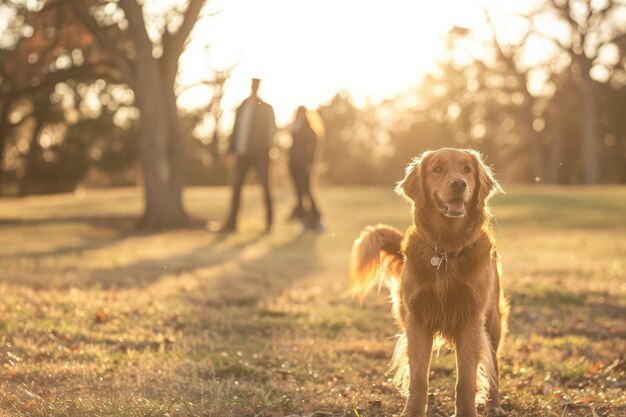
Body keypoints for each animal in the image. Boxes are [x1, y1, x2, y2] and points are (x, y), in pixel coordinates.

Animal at [352, 149, 508, 416]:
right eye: (437, 169)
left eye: (467, 169)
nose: (459, 184)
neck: (446, 249)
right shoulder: (417, 320)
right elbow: (418, 378)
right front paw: (412, 411)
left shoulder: (471, 320)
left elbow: (466, 381)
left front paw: (467, 412)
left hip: (492, 322)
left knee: (494, 363)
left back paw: (495, 404)